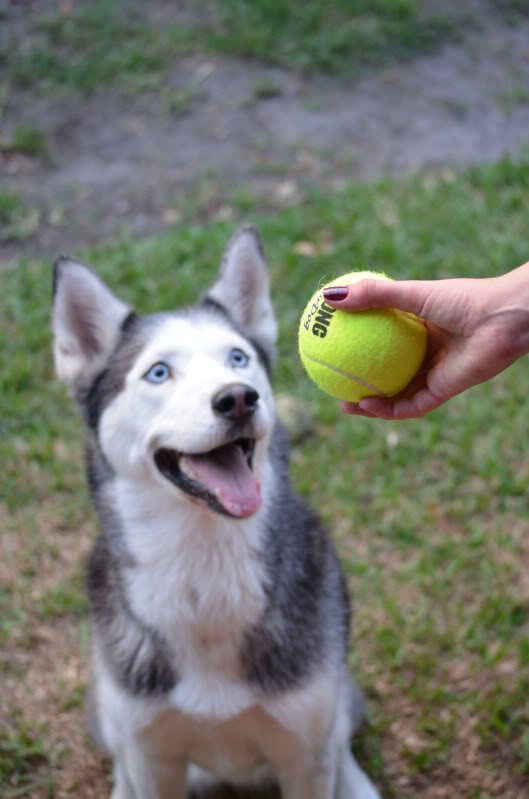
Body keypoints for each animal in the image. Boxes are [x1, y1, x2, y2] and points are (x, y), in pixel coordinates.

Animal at [51, 227, 382, 799]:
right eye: (159, 372)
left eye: (238, 359)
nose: (238, 399)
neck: (202, 567)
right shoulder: (152, 752)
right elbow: (139, 763)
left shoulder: (304, 746)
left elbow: (324, 747)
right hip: (106, 712)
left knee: (341, 740)